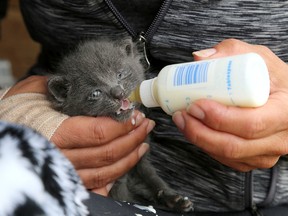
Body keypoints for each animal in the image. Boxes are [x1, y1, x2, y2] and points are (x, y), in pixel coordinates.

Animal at [46, 38, 194, 212]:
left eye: (120, 74)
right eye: (95, 93)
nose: (118, 92)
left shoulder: (139, 161)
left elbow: (151, 178)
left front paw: (173, 199)